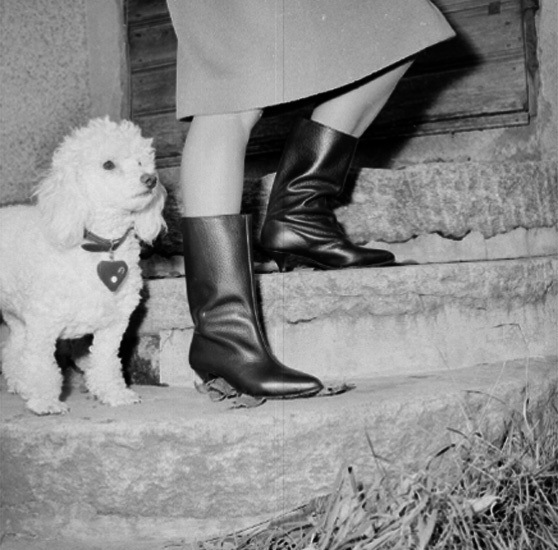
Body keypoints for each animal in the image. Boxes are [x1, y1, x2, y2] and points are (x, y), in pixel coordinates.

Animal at [0, 118, 166, 415]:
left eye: (141, 161)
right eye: (108, 164)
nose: (151, 179)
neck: (101, 246)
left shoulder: (114, 325)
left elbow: (106, 361)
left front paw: (114, 393)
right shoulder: (43, 324)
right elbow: (42, 365)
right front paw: (45, 400)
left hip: (16, 316)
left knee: (13, 350)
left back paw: (20, 384)